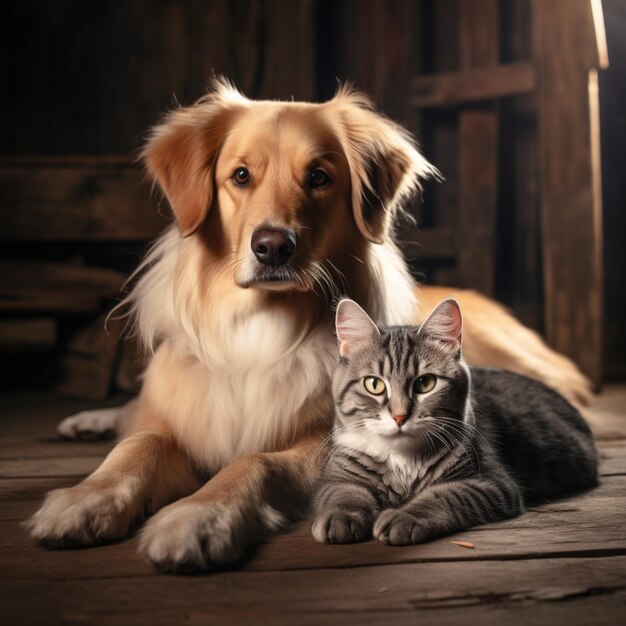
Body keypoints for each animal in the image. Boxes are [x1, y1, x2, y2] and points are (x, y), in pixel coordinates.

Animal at [310, 294, 596, 544]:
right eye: (374, 384)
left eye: (425, 383)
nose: (399, 416)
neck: (403, 461)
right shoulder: (337, 476)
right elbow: (343, 493)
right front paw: (341, 518)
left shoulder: (491, 483)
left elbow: (443, 495)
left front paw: (405, 517)